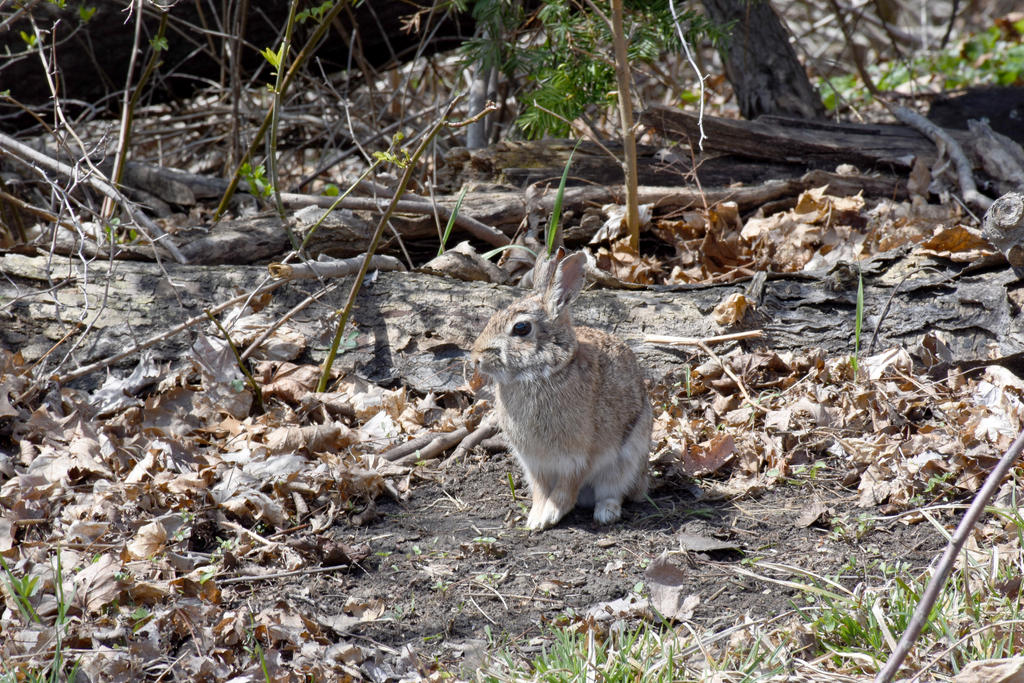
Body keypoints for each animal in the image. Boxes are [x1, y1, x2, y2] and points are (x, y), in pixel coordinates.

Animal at [468, 248, 647, 532]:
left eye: (521, 328)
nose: (476, 358)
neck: (543, 373)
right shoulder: (534, 463)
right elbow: (541, 490)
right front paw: (534, 518)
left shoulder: (577, 458)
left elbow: (565, 490)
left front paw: (548, 516)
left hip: (629, 457)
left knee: (614, 490)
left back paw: (606, 513)